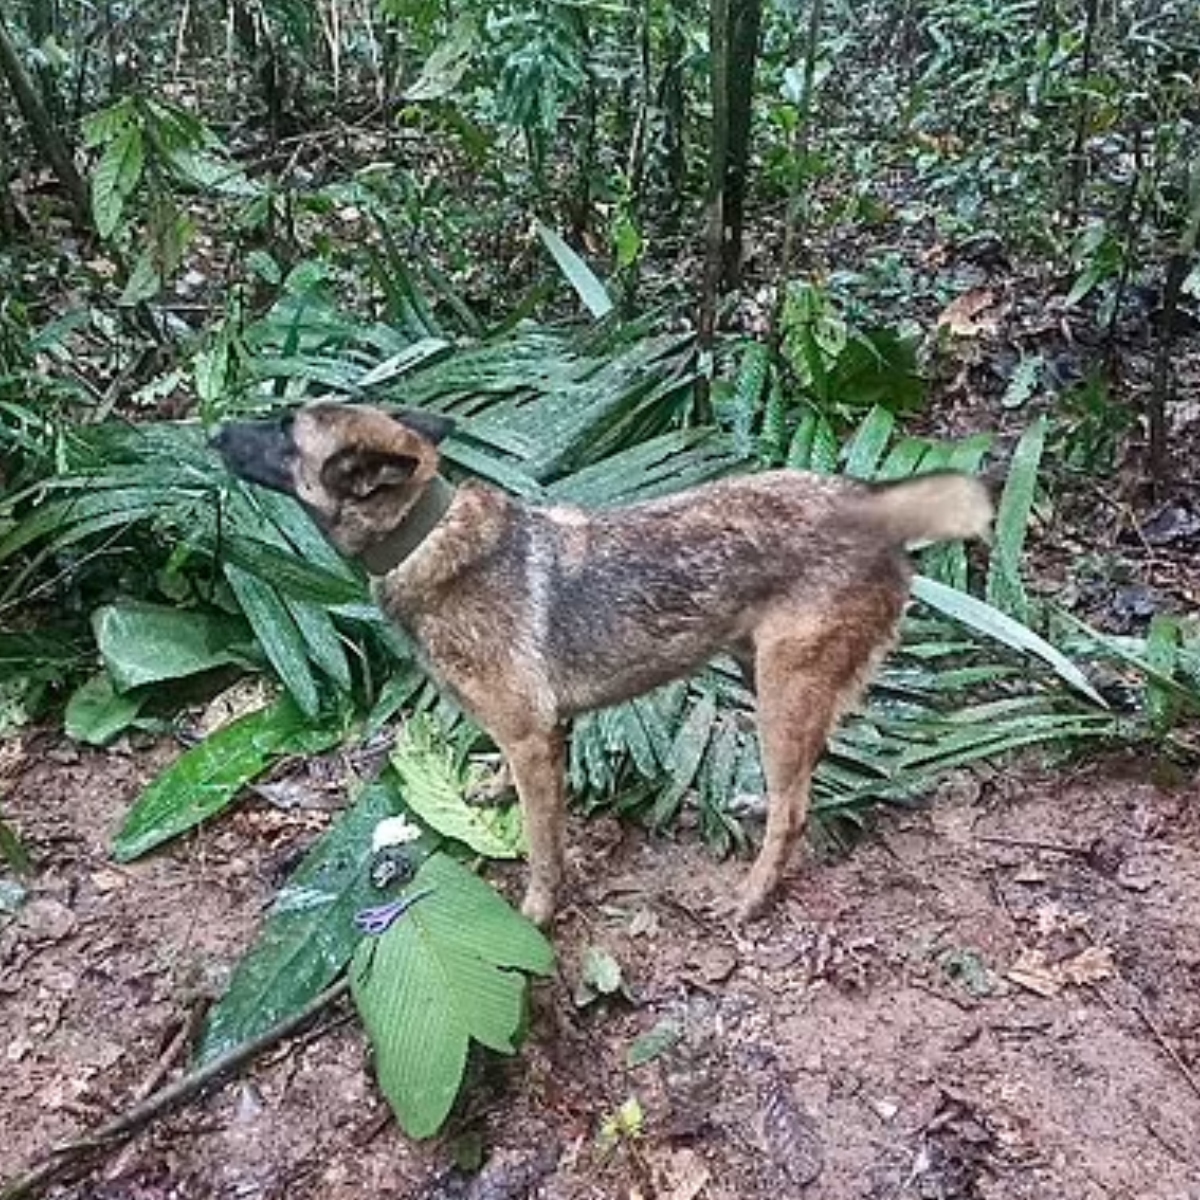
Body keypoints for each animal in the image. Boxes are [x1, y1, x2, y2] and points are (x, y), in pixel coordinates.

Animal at [213, 408, 993, 921]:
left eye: (284, 431)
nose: (213, 431)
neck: (424, 535)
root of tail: (875, 508)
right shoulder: (537, 736)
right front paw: (493, 792)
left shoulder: (533, 738)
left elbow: (541, 845)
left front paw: (537, 911)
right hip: (763, 674)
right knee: (806, 772)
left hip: (782, 688)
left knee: (795, 808)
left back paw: (751, 895)